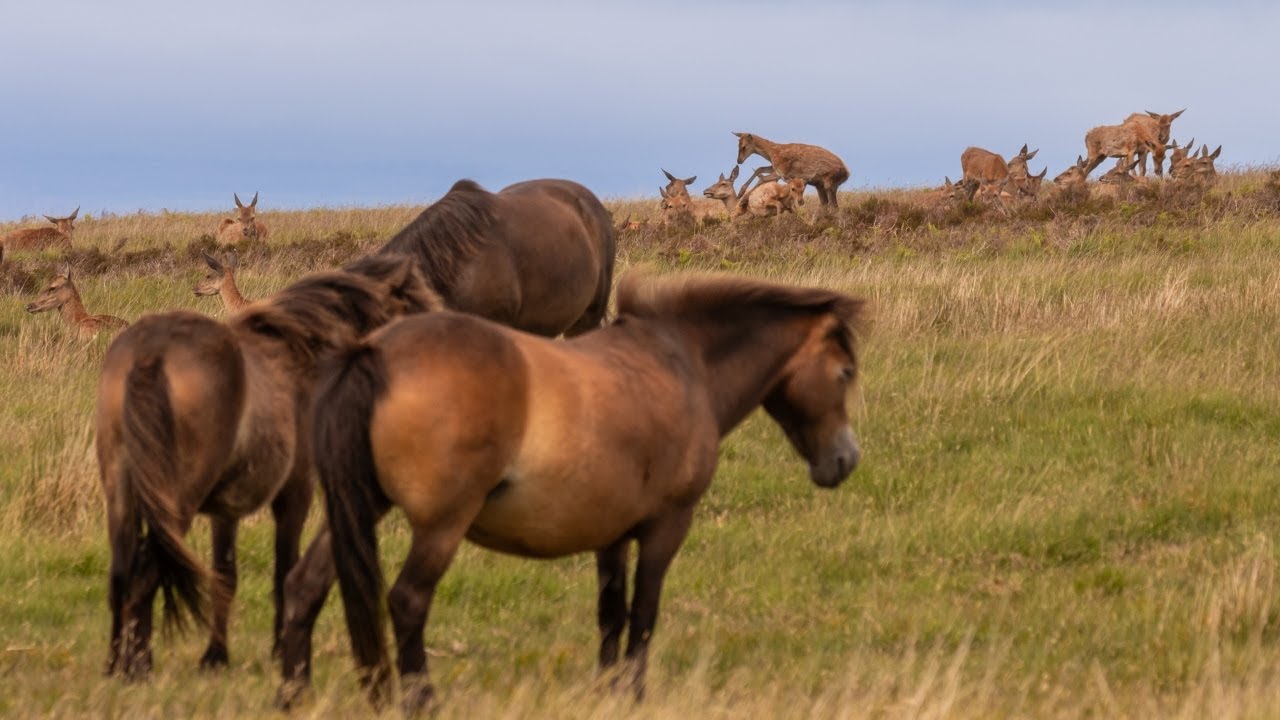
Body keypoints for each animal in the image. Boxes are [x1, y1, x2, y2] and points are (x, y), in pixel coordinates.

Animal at [95, 254, 441, 680]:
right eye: (414, 310)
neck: (298, 352)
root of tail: (151, 353)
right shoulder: (296, 492)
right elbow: (283, 570)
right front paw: (279, 650)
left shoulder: (225, 510)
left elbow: (225, 575)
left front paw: (216, 656)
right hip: (177, 500)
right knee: (145, 571)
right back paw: (138, 666)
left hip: (121, 490)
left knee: (122, 572)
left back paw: (115, 664)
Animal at [277, 272, 869, 713]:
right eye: (844, 372)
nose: (844, 460)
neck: (682, 364)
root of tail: (372, 352)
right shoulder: (667, 525)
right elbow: (644, 614)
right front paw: (634, 695)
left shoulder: (611, 534)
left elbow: (611, 613)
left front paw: (606, 693)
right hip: (440, 526)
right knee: (406, 601)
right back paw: (423, 702)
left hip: (357, 509)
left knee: (304, 587)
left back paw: (293, 697)